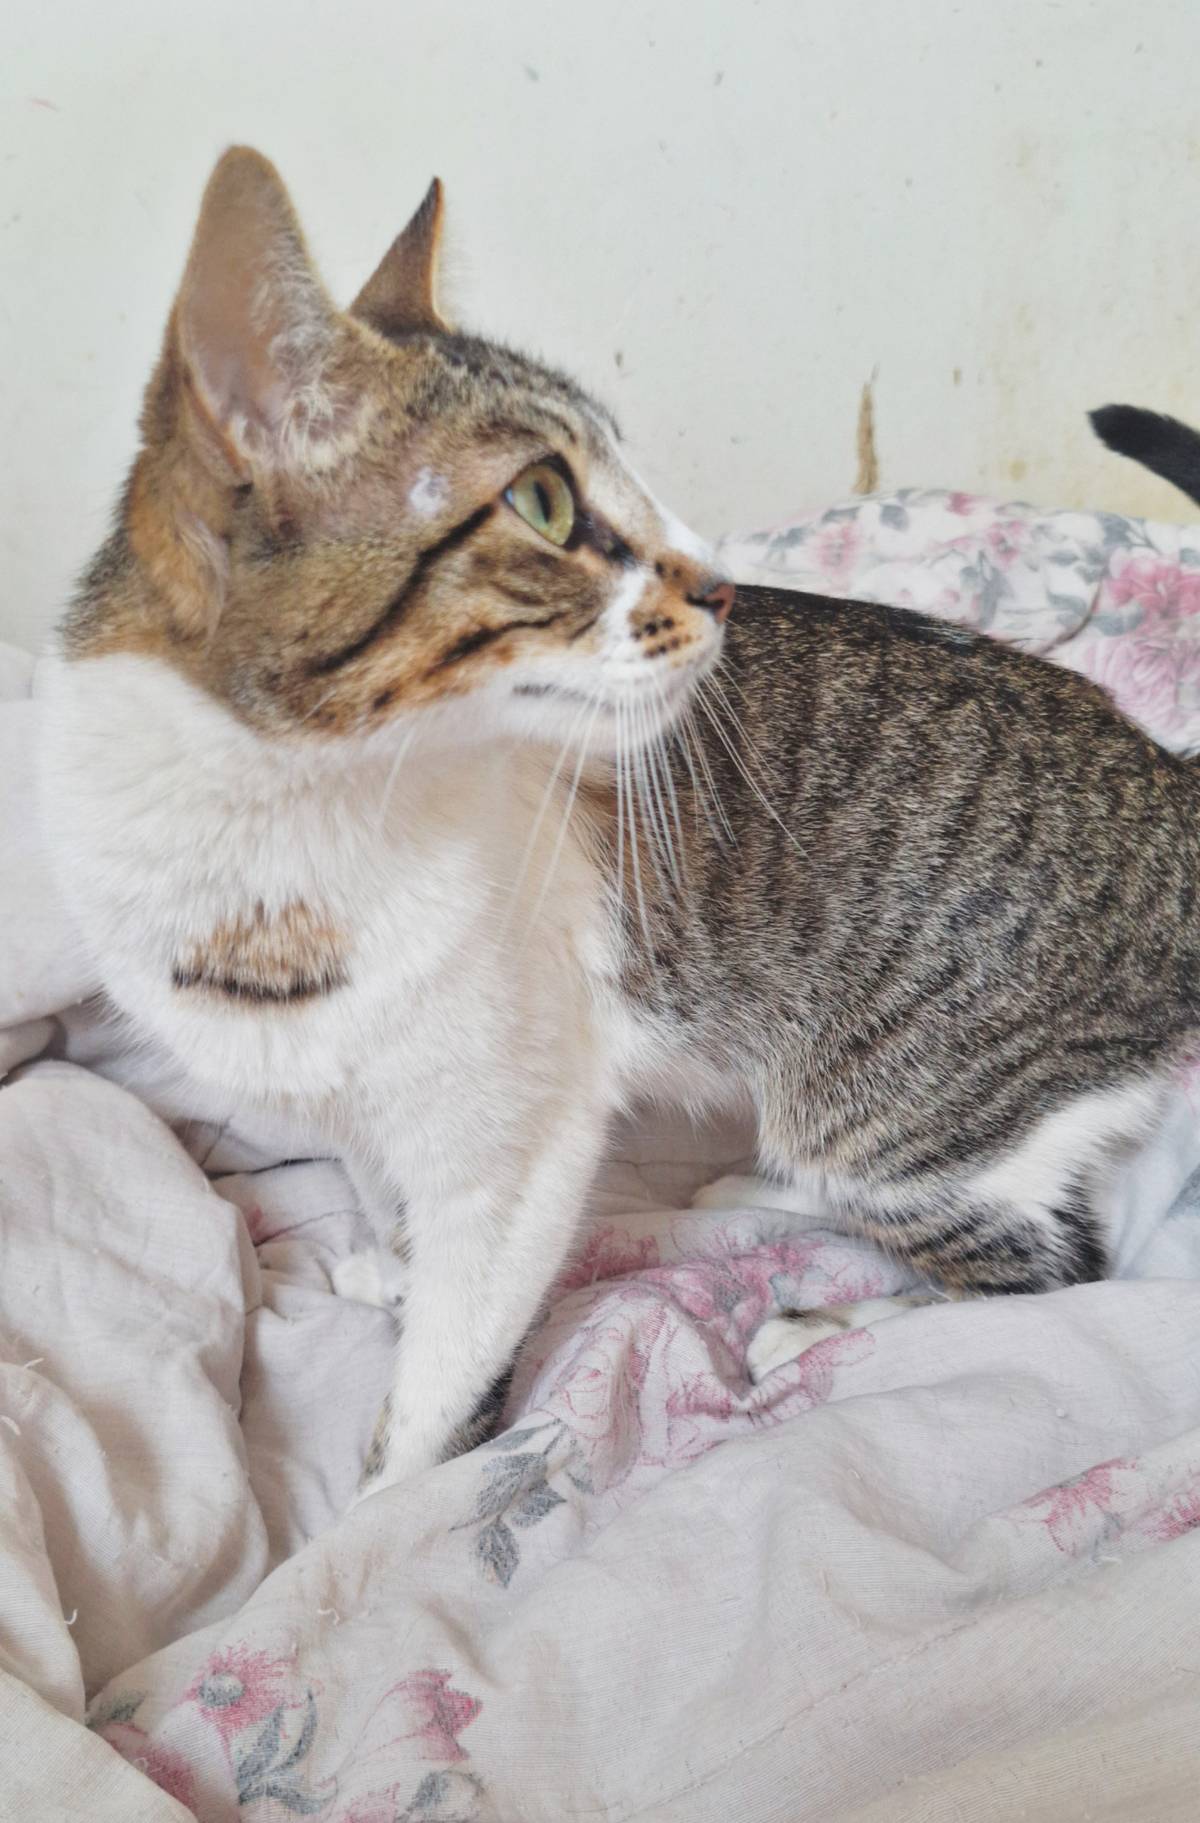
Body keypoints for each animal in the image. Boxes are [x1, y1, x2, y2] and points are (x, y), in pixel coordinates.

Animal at [38, 147, 1200, 1504]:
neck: (269, 847)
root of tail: (1165, 774)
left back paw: (828, 1321)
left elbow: (443, 1378)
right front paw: (396, 1261)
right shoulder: (355, 1102)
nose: (723, 583)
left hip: (893, 1108)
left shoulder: (517, 1144)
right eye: (545, 500)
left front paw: (393, 1500)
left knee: (1052, 1269)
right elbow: (386, 1195)